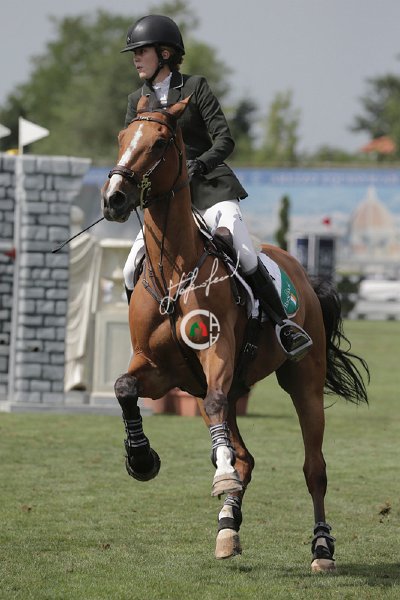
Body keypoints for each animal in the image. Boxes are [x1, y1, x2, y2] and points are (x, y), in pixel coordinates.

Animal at [101, 95, 369, 571]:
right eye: (121, 137)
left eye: (161, 142)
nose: (114, 198)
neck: (174, 272)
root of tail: (301, 271)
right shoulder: (158, 367)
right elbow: (124, 387)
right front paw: (141, 459)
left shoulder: (217, 355)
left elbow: (214, 407)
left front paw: (216, 475)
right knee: (244, 454)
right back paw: (228, 528)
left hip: (304, 382)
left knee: (314, 468)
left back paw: (321, 548)